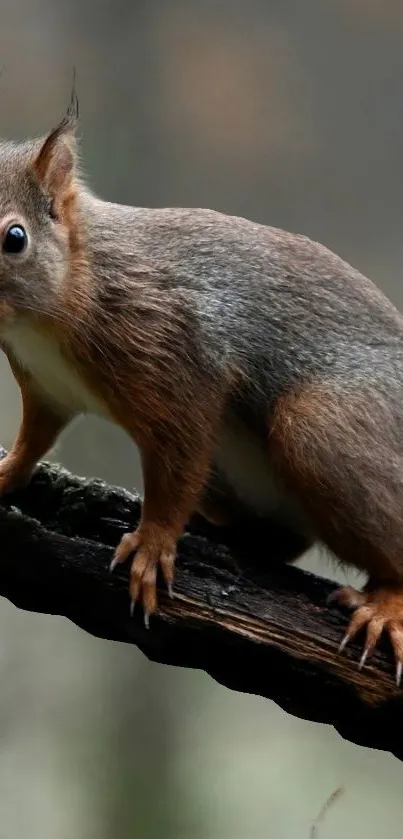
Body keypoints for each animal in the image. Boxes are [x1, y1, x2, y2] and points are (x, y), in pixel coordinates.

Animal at [0, 97, 403, 684]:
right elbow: (34, 438)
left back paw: (386, 605)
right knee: (283, 540)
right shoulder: (46, 387)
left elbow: (177, 462)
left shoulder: (180, 361)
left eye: (15, 238)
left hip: (322, 430)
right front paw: (5, 469)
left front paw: (152, 544)